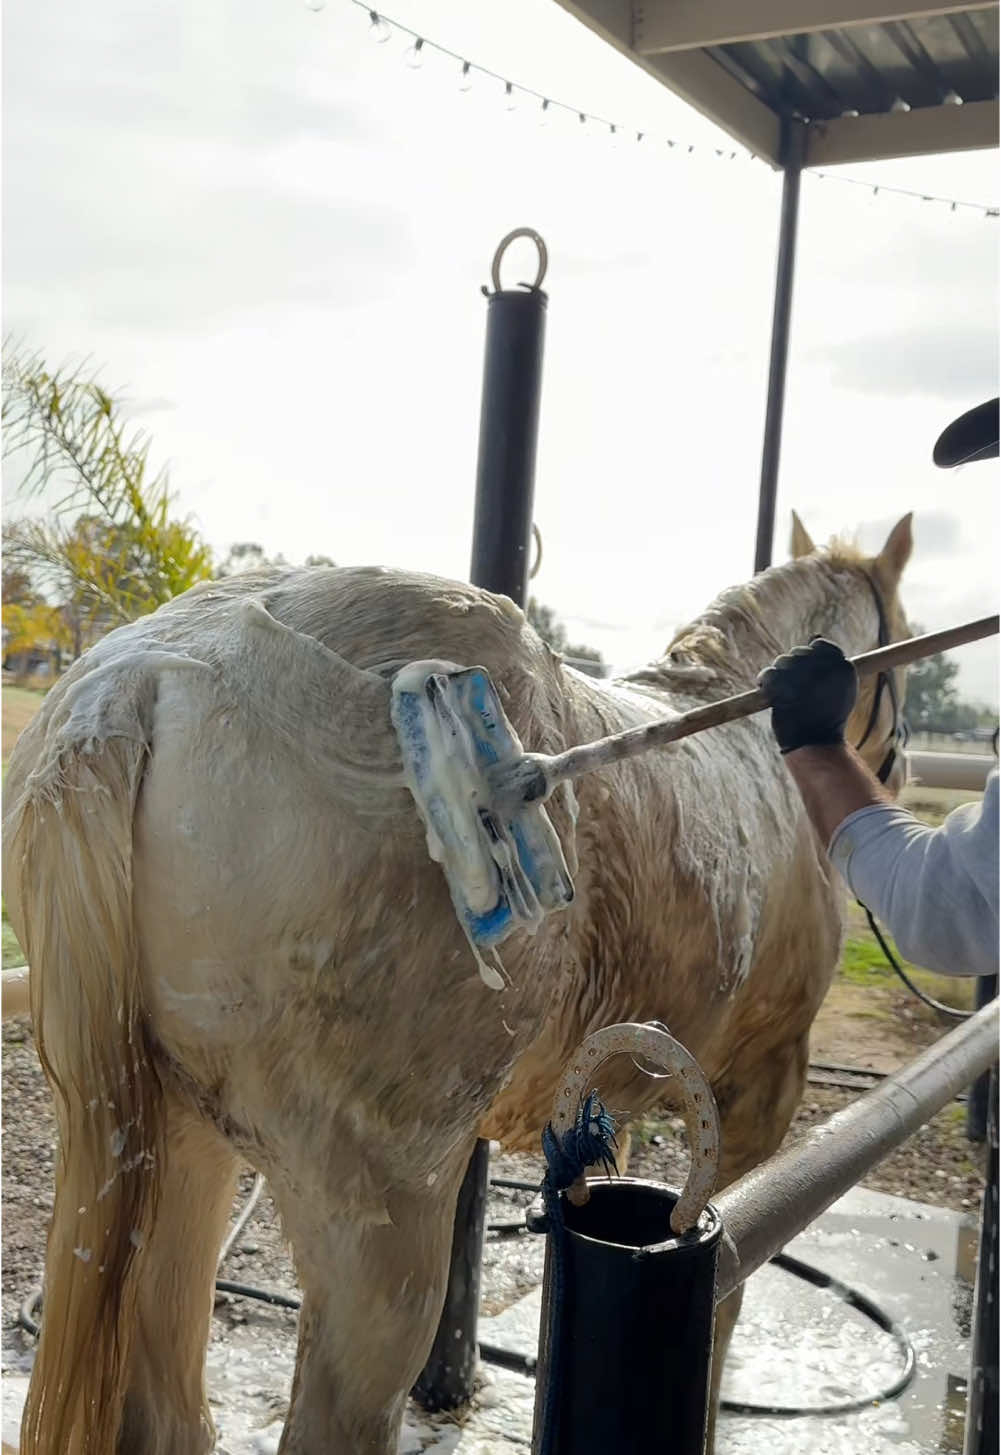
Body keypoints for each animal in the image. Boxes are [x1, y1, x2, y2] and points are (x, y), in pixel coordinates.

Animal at [0, 509, 913, 1443]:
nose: (899, 770)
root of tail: (137, 680)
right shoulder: (759, 1089)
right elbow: (724, 1296)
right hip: (378, 1228)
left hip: (179, 1141)